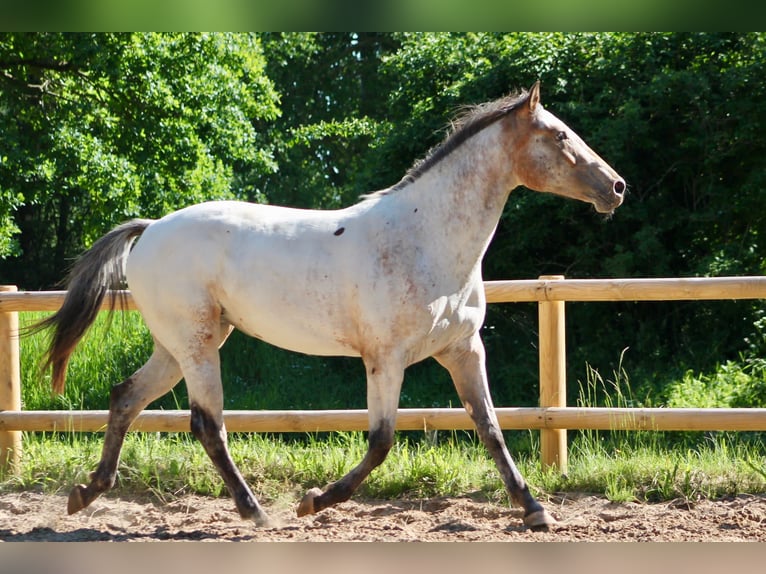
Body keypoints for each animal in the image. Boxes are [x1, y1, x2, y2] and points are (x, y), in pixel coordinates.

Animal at [36, 81, 624, 532]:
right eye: (559, 135)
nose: (616, 187)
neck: (425, 238)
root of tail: (150, 229)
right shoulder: (386, 358)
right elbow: (382, 441)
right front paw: (312, 501)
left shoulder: (462, 349)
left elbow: (491, 428)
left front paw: (536, 510)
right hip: (196, 343)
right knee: (206, 423)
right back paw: (255, 513)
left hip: (179, 344)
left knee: (126, 397)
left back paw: (86, 493)